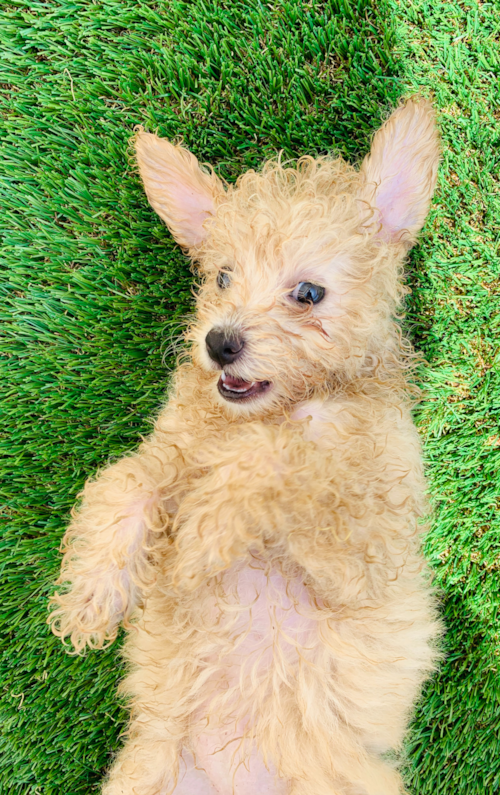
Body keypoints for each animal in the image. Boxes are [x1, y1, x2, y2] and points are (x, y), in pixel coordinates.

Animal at [49, 98, 442, 795]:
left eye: (308, 293)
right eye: (222, 277)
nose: (219, 342)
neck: (275, 409)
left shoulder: (364, 554)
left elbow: (279, 466)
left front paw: (199, 542)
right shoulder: (170, 451)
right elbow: (124, 485)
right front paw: (91, 600)